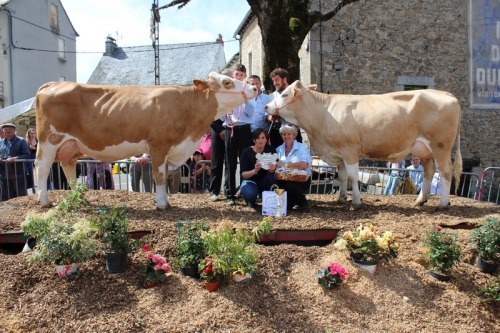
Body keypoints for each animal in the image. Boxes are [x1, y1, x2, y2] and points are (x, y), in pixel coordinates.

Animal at [34, 71, 258, 209]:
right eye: (227, 82)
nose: (255, 89)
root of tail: (54, 84)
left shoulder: (168, 149)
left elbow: (165, 175)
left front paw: (166, 201)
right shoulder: (158, 145)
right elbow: (159, 176)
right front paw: (161, 204)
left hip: (71, 145)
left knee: (68, 167)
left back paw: (79, 199)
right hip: (49, 141)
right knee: (42, 168)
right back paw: (44, 201)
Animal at [264, 81, 462, 208]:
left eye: (285, 94)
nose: (266, 107)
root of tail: (446, 94)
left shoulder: (350, 149)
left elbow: (353, 176)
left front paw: (356, 202)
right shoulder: (339, 153)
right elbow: (343, 176)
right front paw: (342, 198)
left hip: (440, 146)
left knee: (445, 171)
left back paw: (443, 203)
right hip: (423, 149)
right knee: (429, 171)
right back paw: (421, 200)